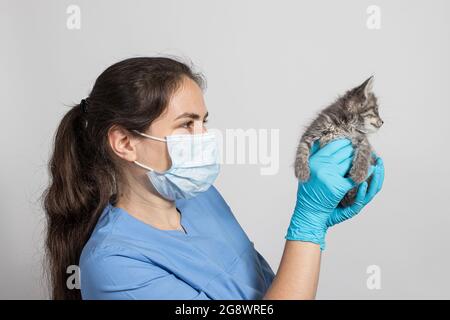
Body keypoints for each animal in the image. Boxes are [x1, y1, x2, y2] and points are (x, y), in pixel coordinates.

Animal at [296, 77, 384, 208]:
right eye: (376, 110)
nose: (382, 121)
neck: (345, 124)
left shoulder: (362, 138)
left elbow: (364, 151)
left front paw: (359, 173)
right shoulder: (312, 131)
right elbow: (302, 149)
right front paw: (301, 171)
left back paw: (352, 192)